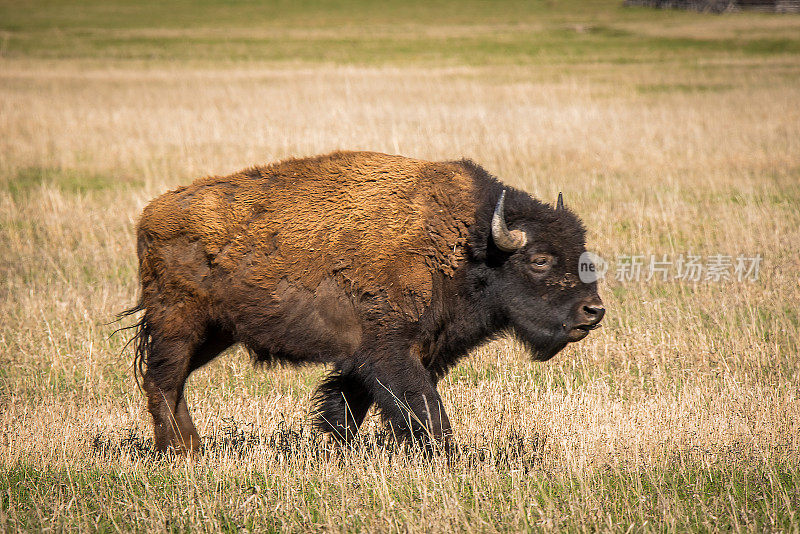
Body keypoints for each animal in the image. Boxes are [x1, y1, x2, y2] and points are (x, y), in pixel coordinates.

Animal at [123, 152, 600, 456]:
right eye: (539, 259)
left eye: (582, 254)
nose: (593, 312)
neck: (469, 243)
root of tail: (151, 214)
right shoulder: (391, 352)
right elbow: (423, 407)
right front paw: (450, 459)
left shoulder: (384, 356)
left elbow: (346, 407)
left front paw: (335, 453)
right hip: (179, 323)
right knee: (163, 381)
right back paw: (179, 453)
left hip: (216, 333)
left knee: (174, 380)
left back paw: (190, 449)